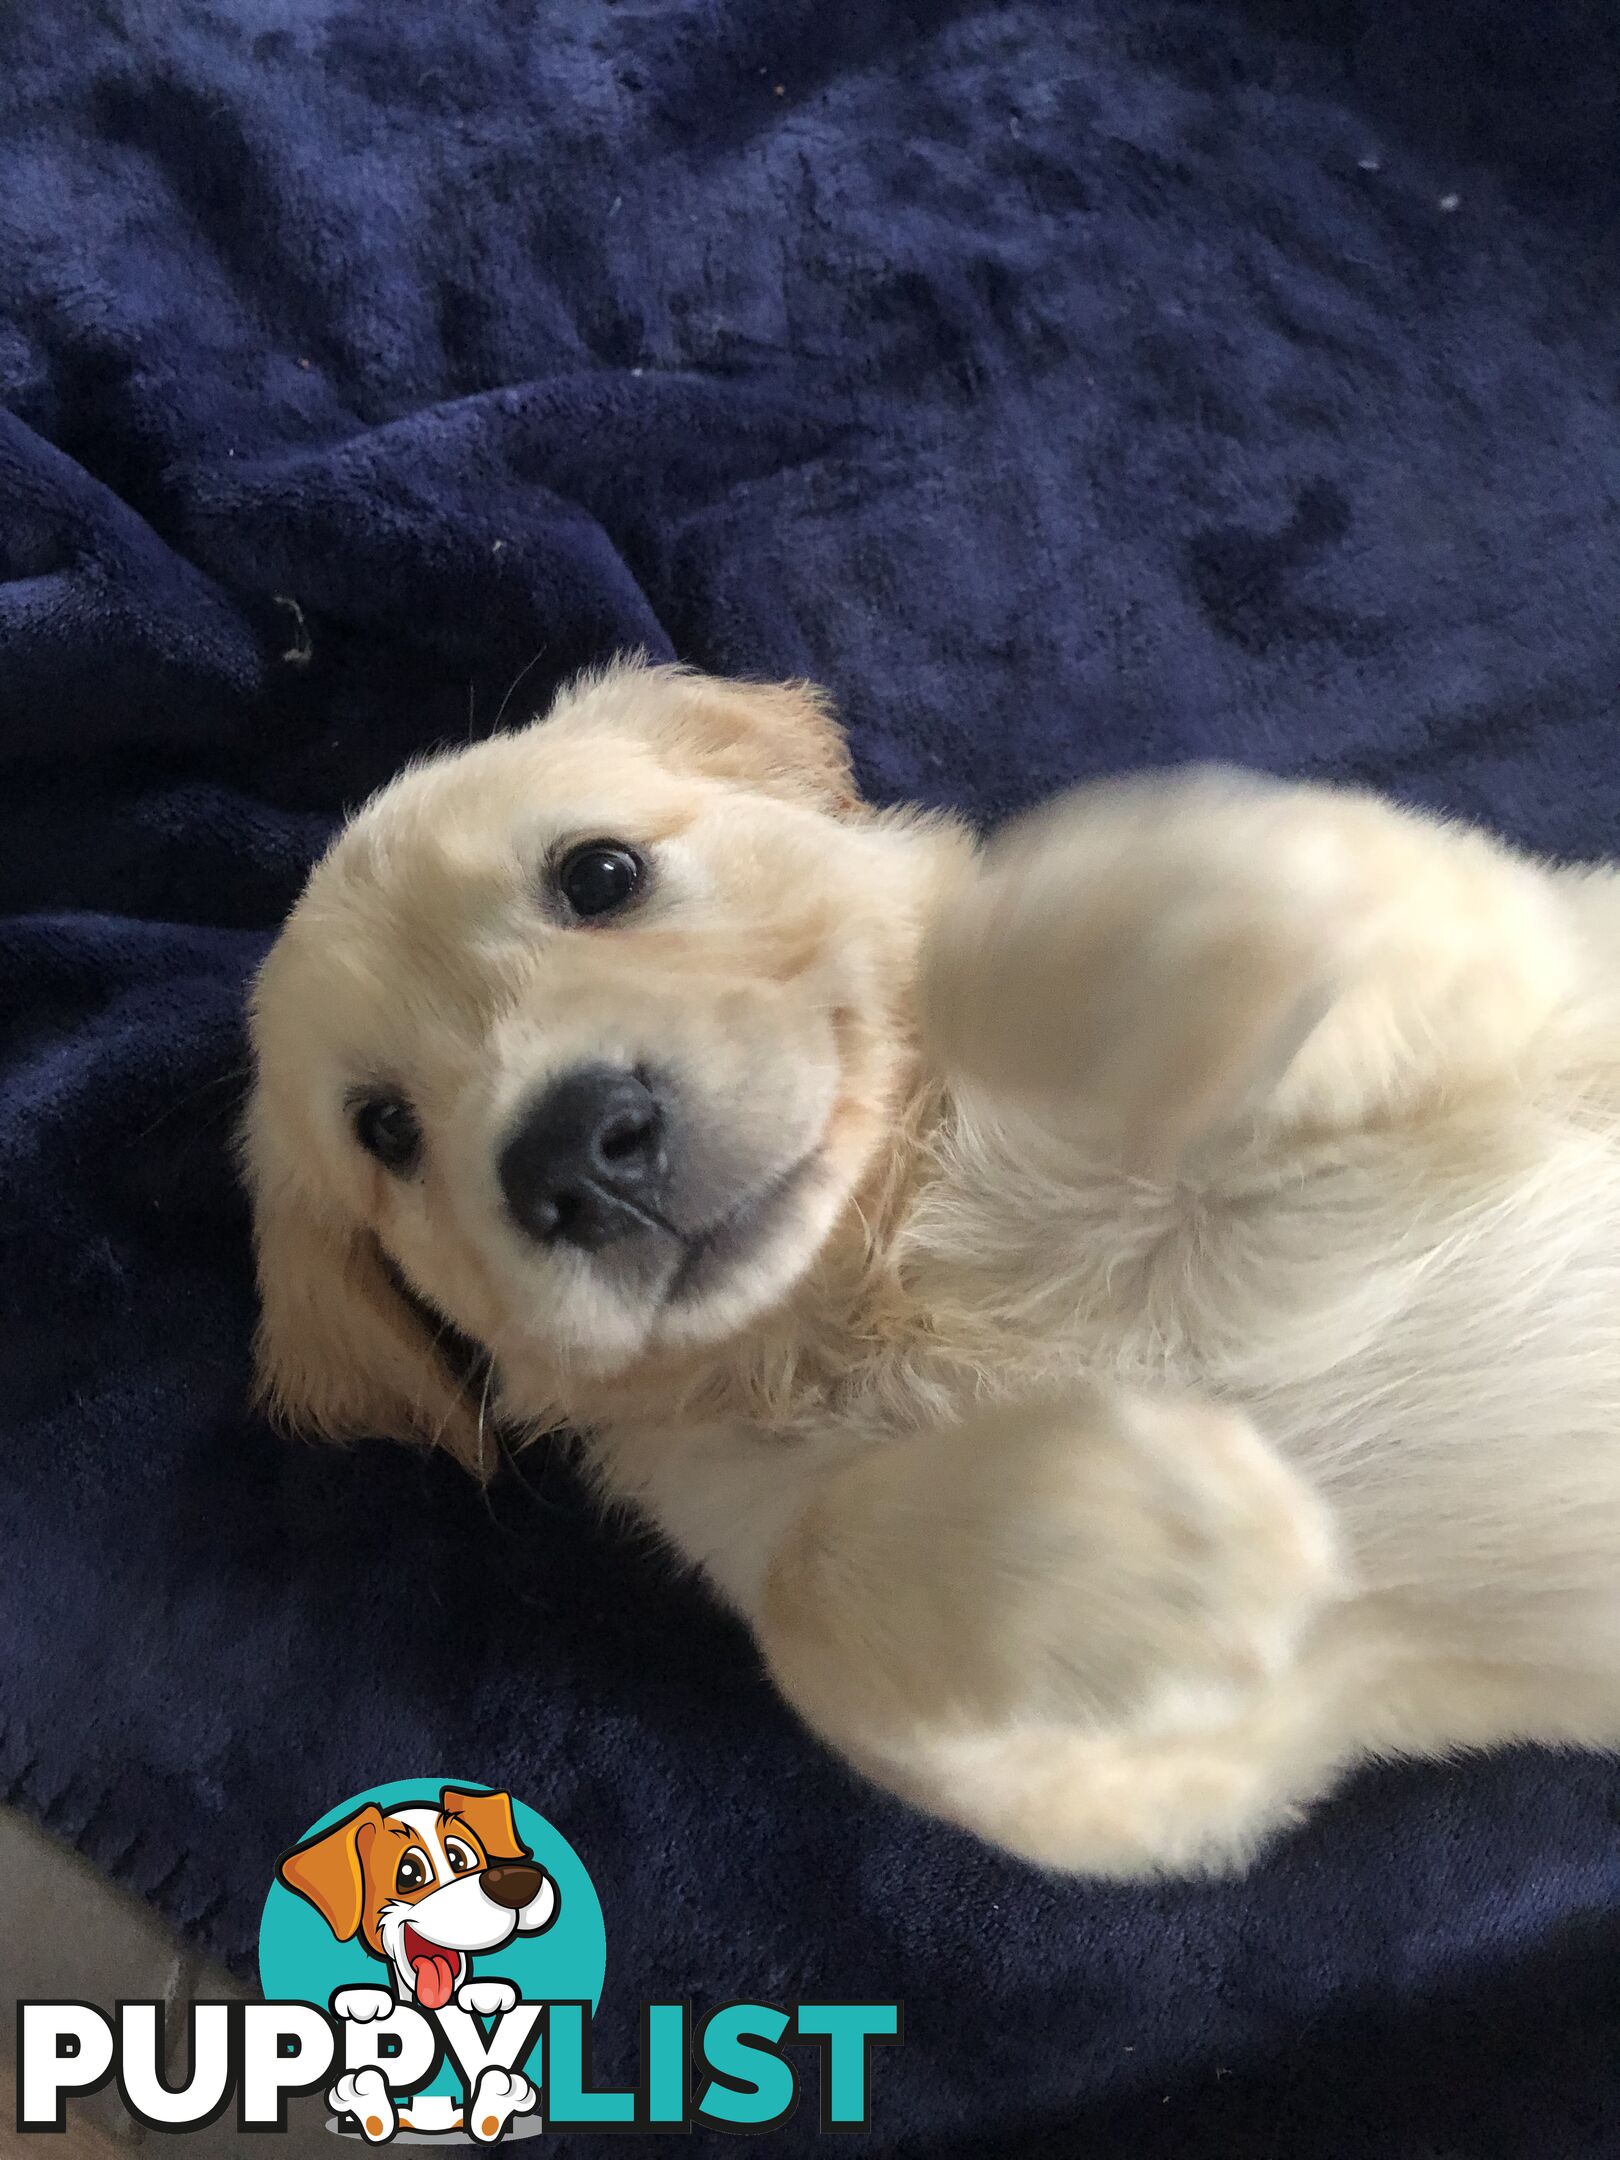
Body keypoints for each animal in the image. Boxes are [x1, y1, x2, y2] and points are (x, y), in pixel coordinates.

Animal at [244, 656, 1620, 1874]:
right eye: (383, 1130)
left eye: (600, 874)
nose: (575, 1153)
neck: (885, 1258)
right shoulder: (1228, 1752)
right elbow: (815, 1599)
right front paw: (1165, 1527)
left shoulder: (1519, 969)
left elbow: (1110, 918)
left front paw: (1066, 949)